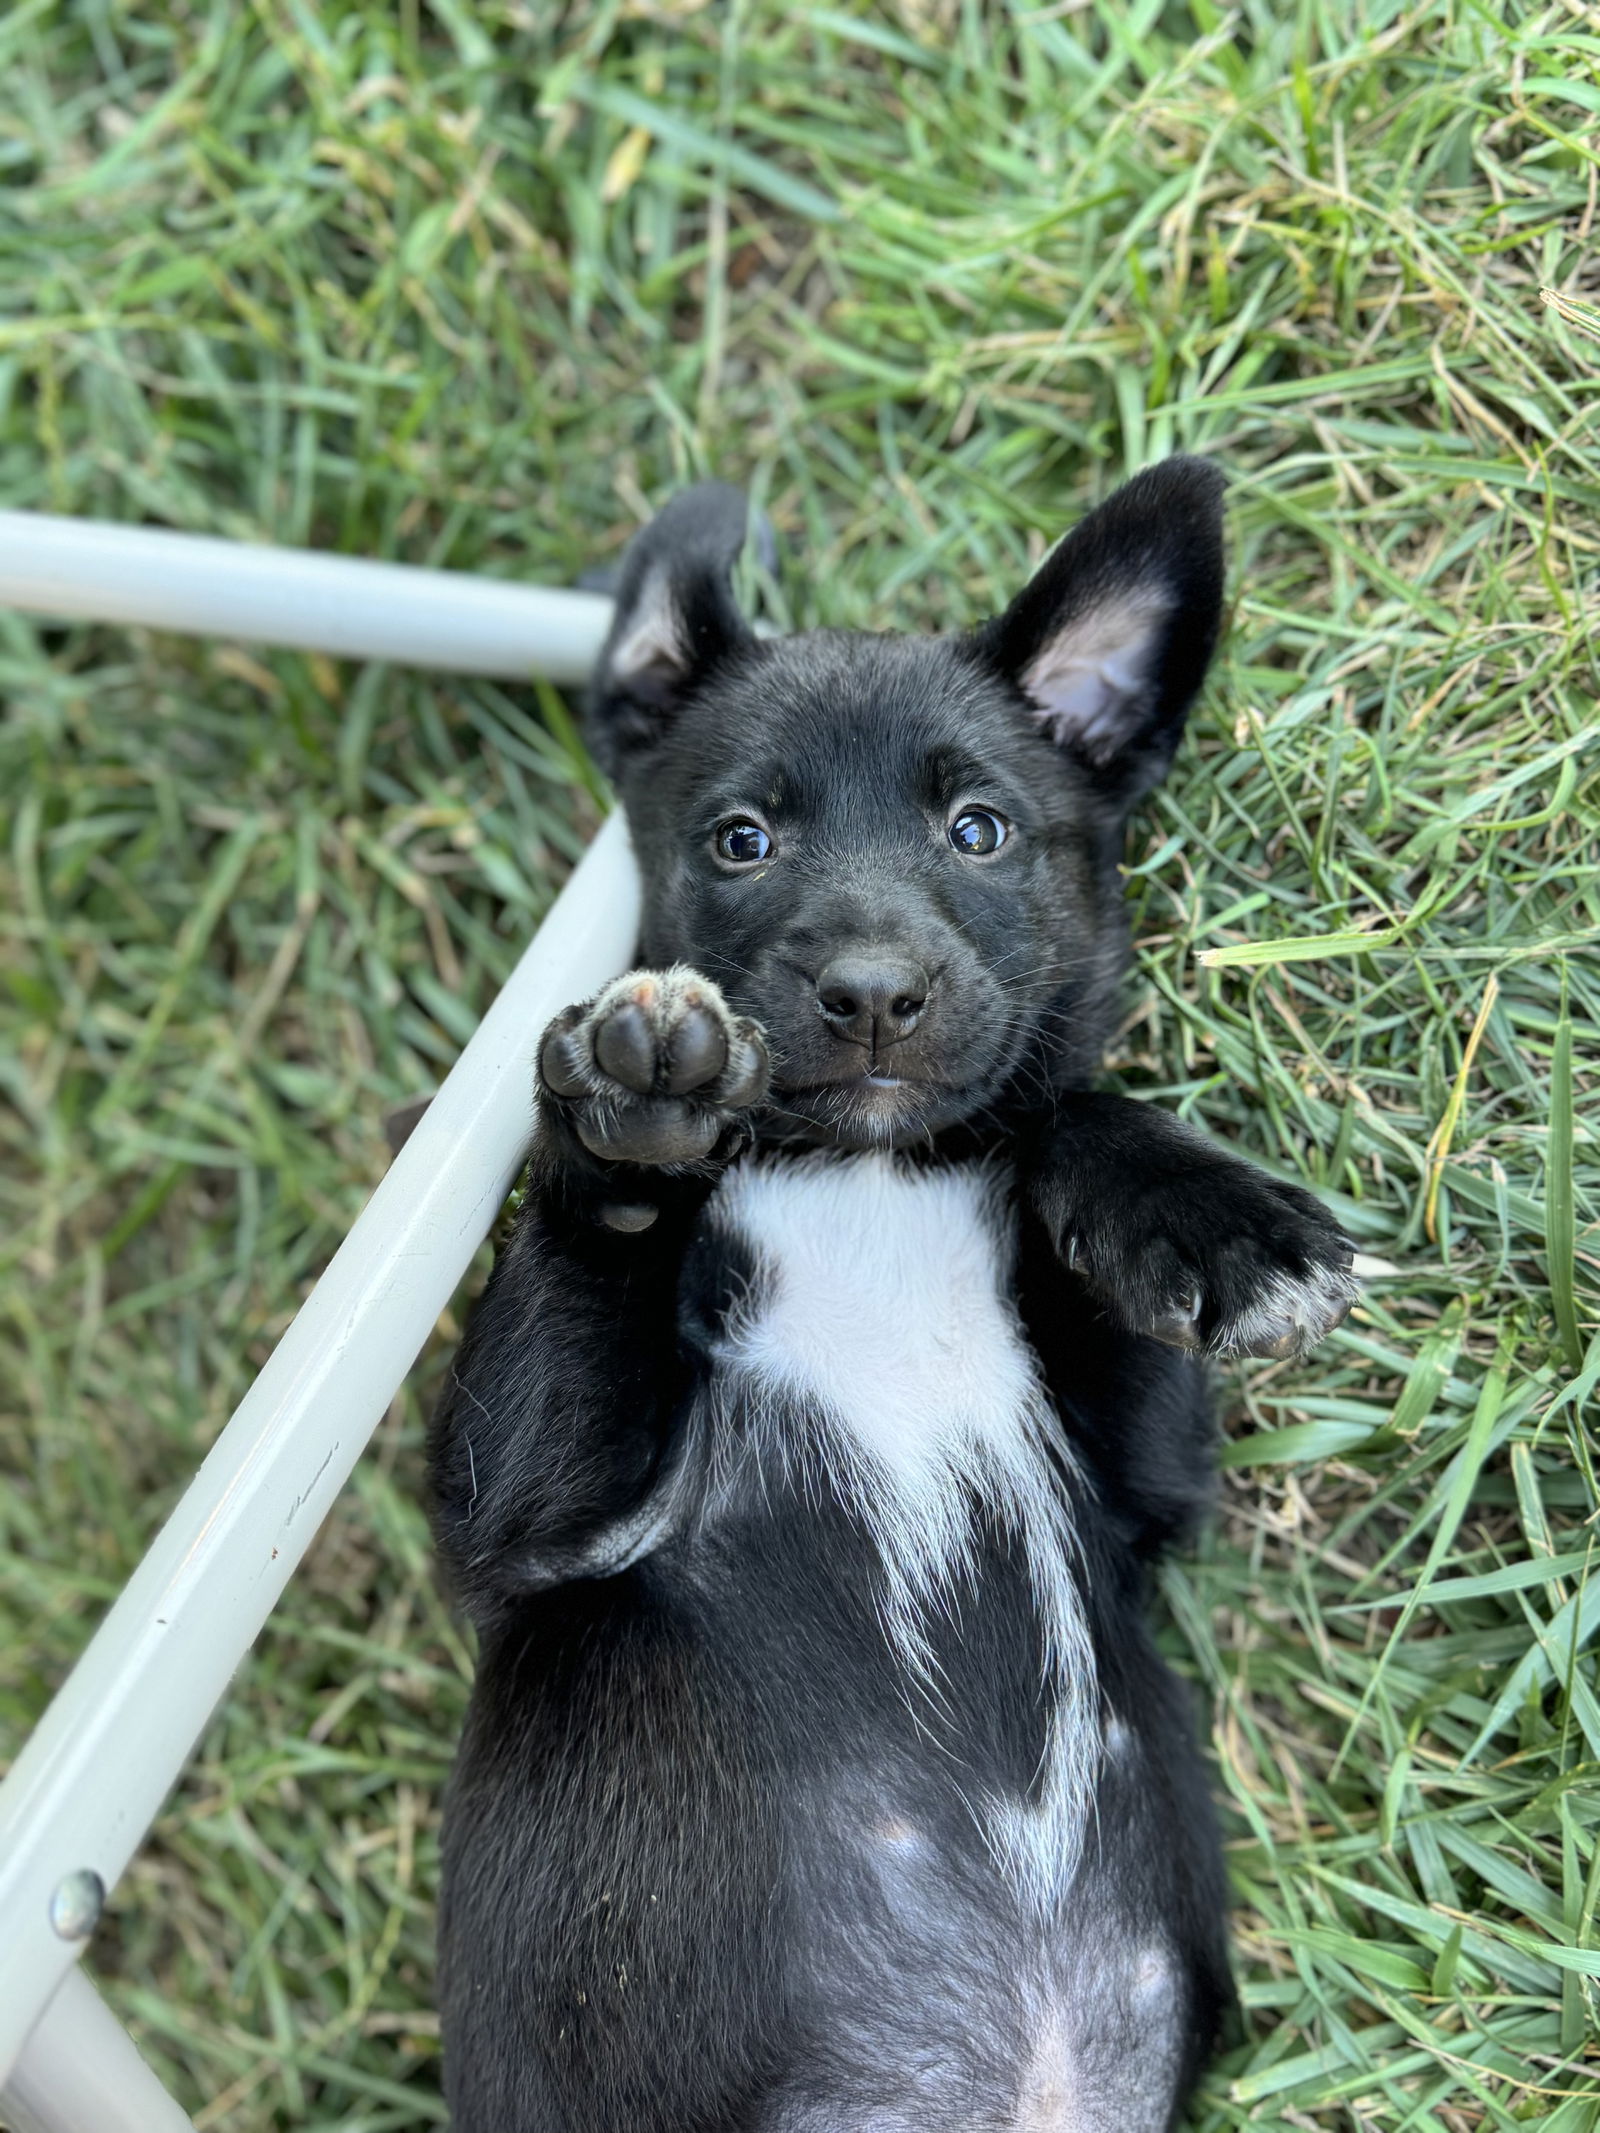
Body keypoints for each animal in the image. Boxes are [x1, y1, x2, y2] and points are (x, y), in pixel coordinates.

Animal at [422, 467, 1356, 2133]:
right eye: (740, 840)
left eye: (981, 830)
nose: (868, 993)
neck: (865, 1175)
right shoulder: (527, 1524)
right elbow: (593, 1244)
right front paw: (626, 1105)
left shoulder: (1139, 1489)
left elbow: (1056, 1115)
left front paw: (1208, 1216)